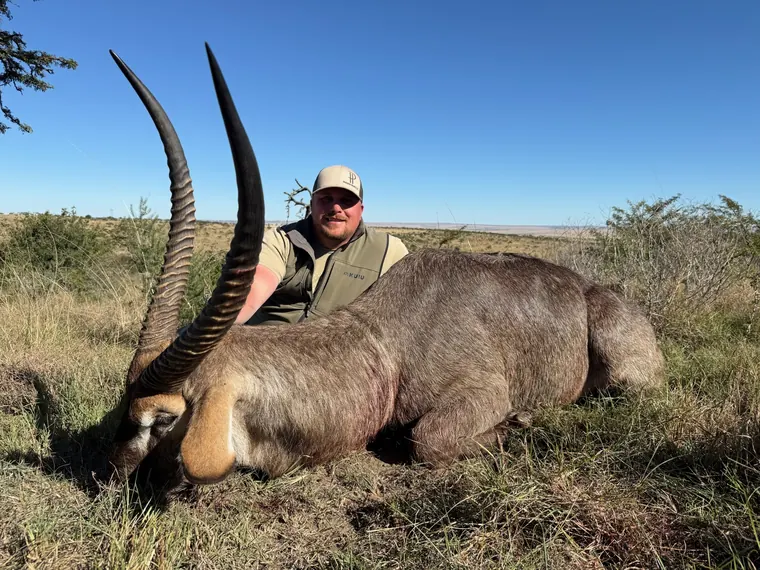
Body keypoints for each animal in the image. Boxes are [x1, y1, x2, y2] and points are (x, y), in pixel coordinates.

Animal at [108, 44, 665, 490]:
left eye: (161, 419)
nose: (110, 475)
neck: (385, 343)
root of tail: (594, 289)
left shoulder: (482, 393)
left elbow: (427, 441)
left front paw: (520, 423)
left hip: (626, 372)